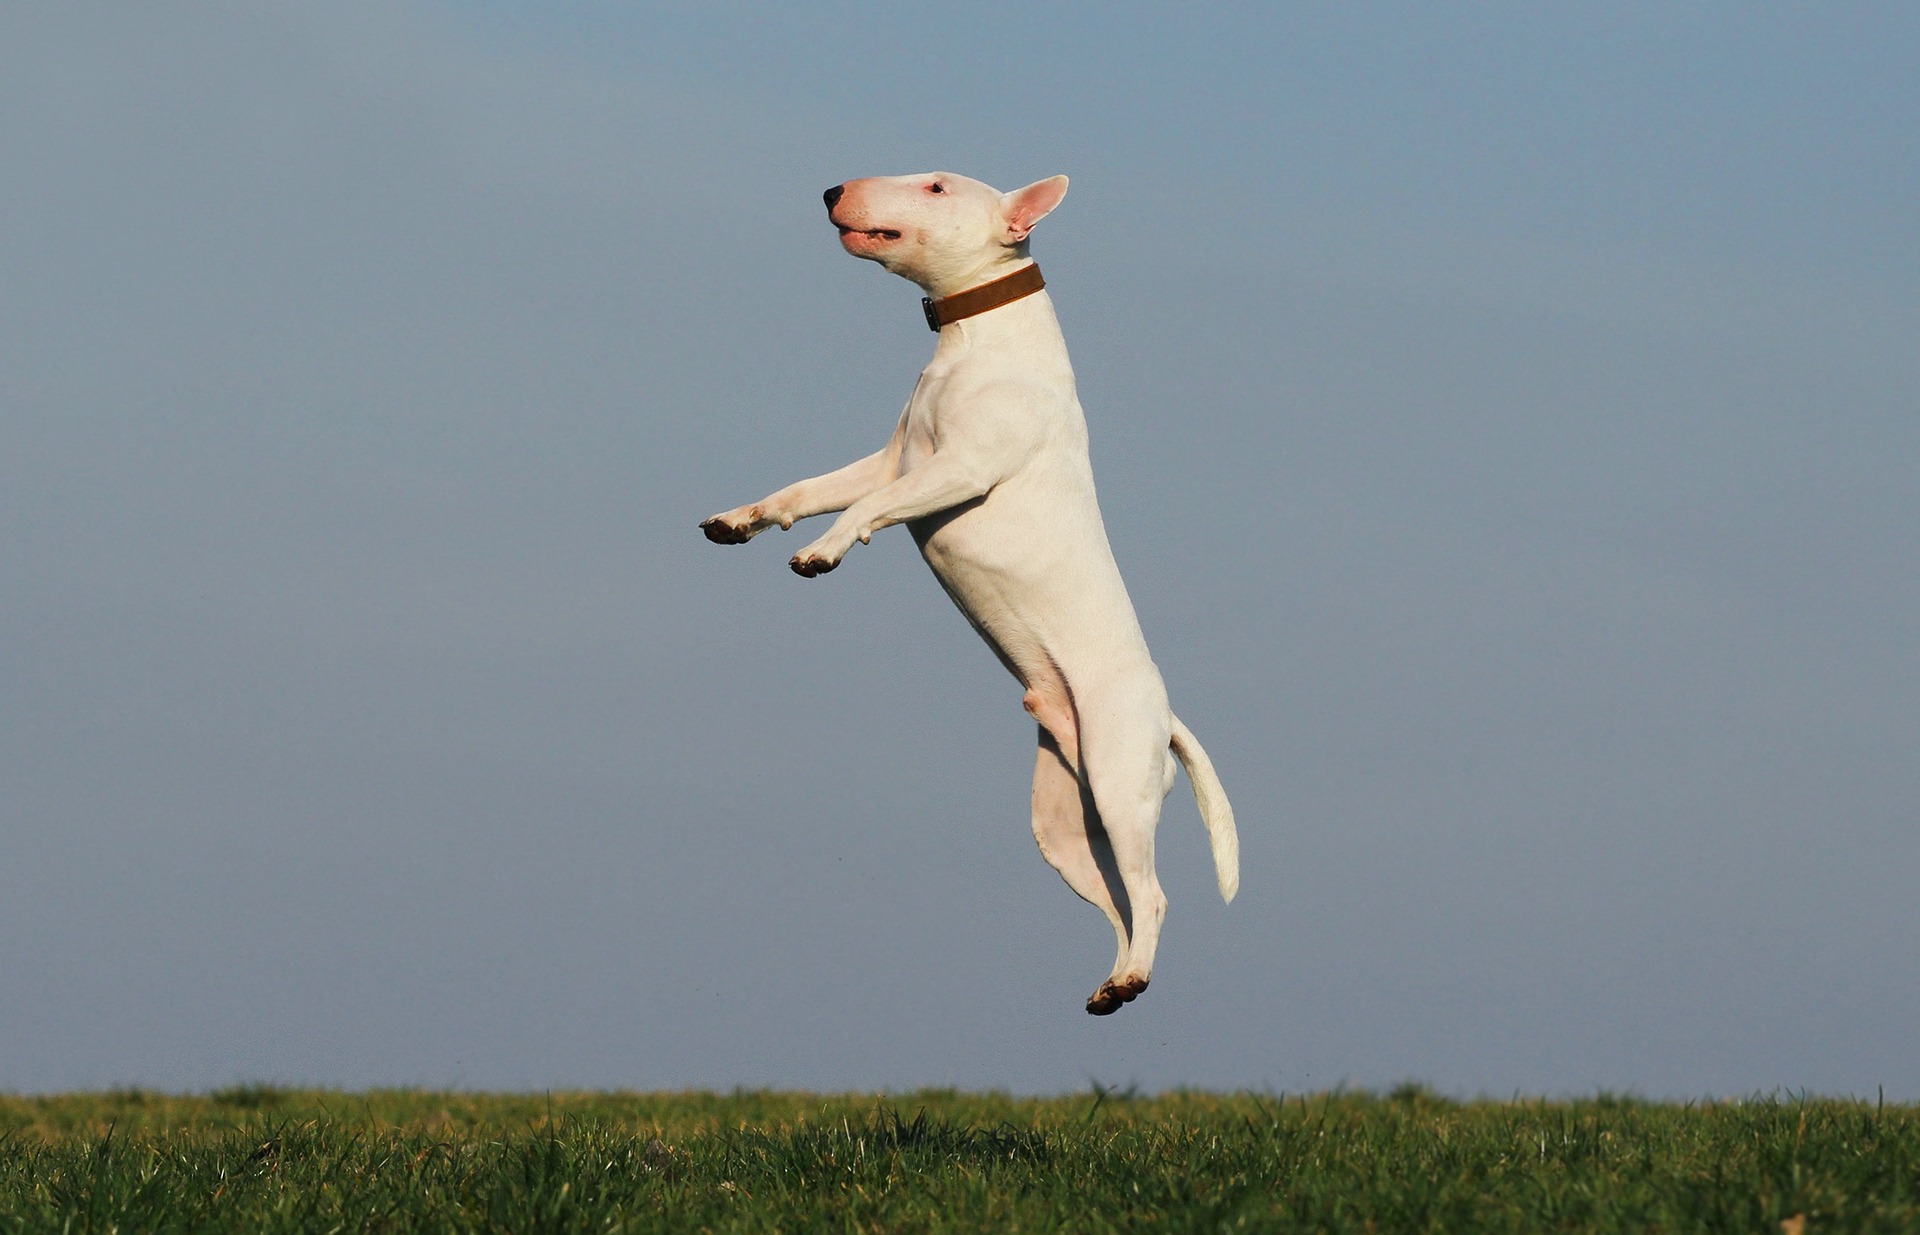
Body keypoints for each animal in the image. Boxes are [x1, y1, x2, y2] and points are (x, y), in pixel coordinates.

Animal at [698, 171, 1236, 1014]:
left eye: (936, 185)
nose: (832, 189)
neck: (975, 340)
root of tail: (1168, 714)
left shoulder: (958, 469)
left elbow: (863, 509)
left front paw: (822, 551)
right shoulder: (892, 459)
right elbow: (813, 489)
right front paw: (742, 519)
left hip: (1120, 780)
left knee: (1151, 895)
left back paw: (1133, 977)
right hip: (1063, 824)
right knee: (1117, 900)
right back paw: (1112, 984)